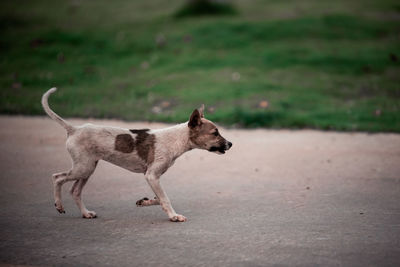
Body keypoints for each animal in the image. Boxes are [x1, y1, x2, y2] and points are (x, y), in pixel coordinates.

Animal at [40, 88, 231, 222]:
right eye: (215, 133)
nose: (230, 144)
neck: (176, 139)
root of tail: (74, 129)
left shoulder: (152, 177)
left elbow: (159, 198)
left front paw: (145, 201)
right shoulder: (152, 175)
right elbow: (165, 198)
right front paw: (173, 216)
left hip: (88, 168)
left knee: (75, 191)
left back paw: (85, 213)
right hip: (83, 168)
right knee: (57, 177)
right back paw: (58, 205)